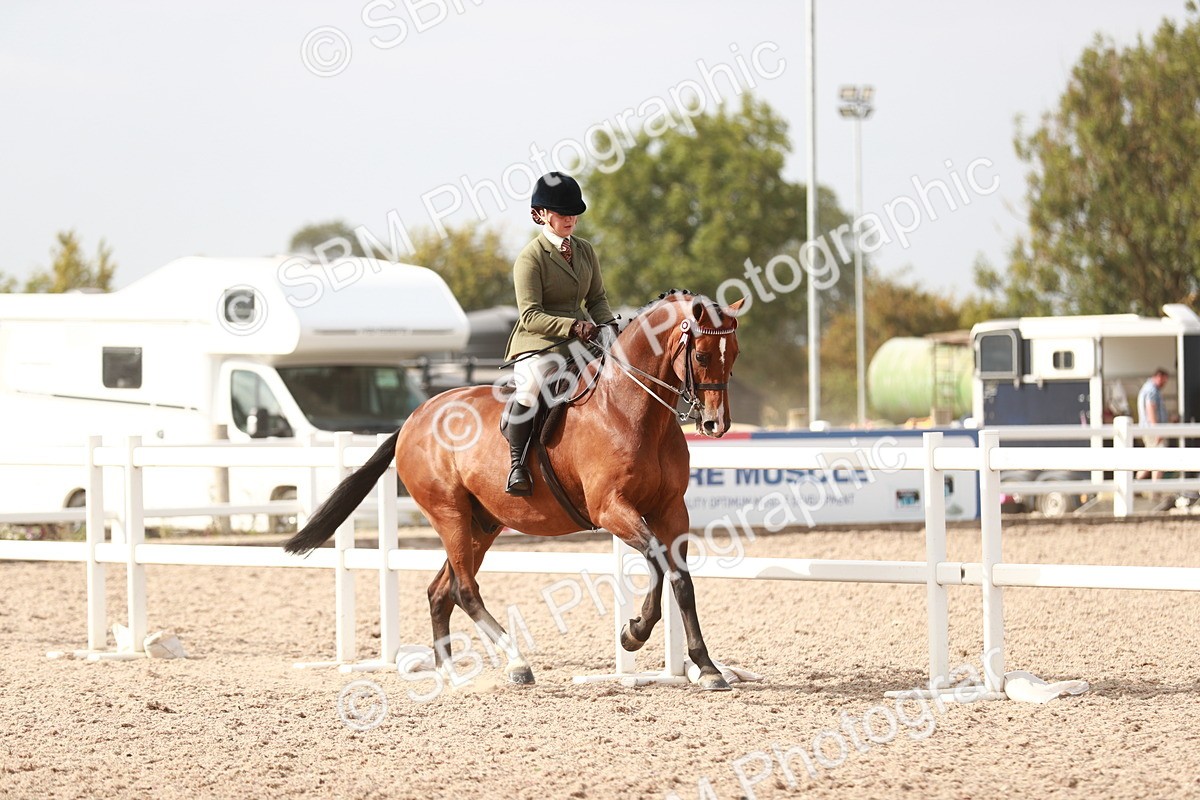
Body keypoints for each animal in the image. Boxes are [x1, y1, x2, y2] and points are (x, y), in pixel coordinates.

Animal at [284, 289, 745, 691]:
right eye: (701, 355)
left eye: (735, 355)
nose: (715, 424)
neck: (631, 408)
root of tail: (416, 416)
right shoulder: (611, 509)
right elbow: (657, 562)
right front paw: (634, 632)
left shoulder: (671, 510)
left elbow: (681, 578)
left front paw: (706, 667)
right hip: (449, 515)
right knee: (464, 590)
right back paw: (515, 663)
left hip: (482, 525)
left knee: (441, 592)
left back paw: (451, 675)